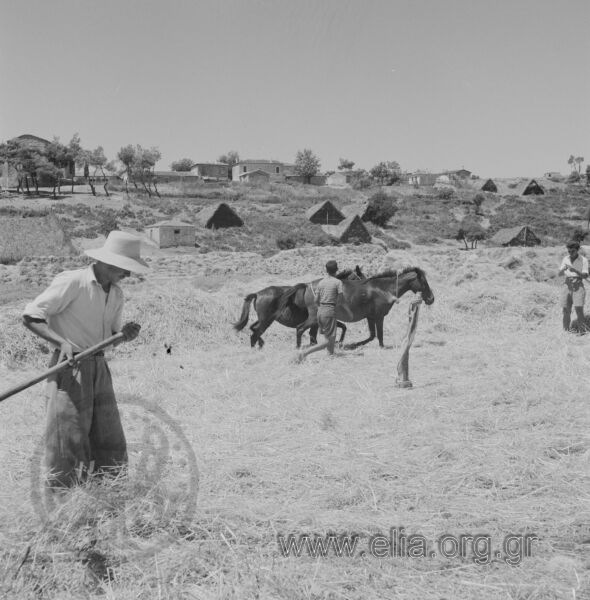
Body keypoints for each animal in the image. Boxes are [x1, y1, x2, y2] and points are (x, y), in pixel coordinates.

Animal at [232, 266, 366, 350]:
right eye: (361, 278)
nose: (366, 293)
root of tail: (257, 293)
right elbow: (342, 327)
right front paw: (339, 342)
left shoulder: (319, 322)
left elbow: (336, 329)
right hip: (266, 320)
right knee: (256, 333)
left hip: (265, 319)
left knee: (253, 329)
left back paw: (261, 344)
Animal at [276, 266, 434, 350]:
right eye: (424, 283)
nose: (431, 299)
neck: (383, 289)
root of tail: (307, 286)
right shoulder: (379, 317)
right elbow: (379, 335)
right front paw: (380, 347)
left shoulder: (370, 317)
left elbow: (372, 335)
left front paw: (352, 344)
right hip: (314, 318)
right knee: (300, 328)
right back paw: (298, 348)